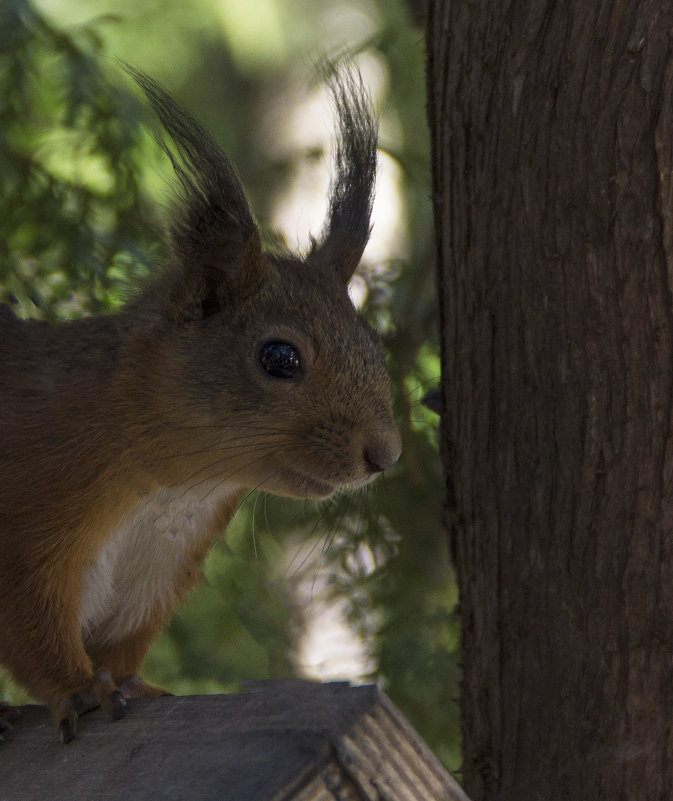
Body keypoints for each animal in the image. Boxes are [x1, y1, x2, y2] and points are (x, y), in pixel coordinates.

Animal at [0, 64, 400, 744]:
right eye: (279, 357)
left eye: (374, 342)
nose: (384, 455)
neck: (174, 486)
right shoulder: (31, 522)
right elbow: (34, 629)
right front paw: (82, 691)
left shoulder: (155, 574)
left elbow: (122, 652)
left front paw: (137, 687)